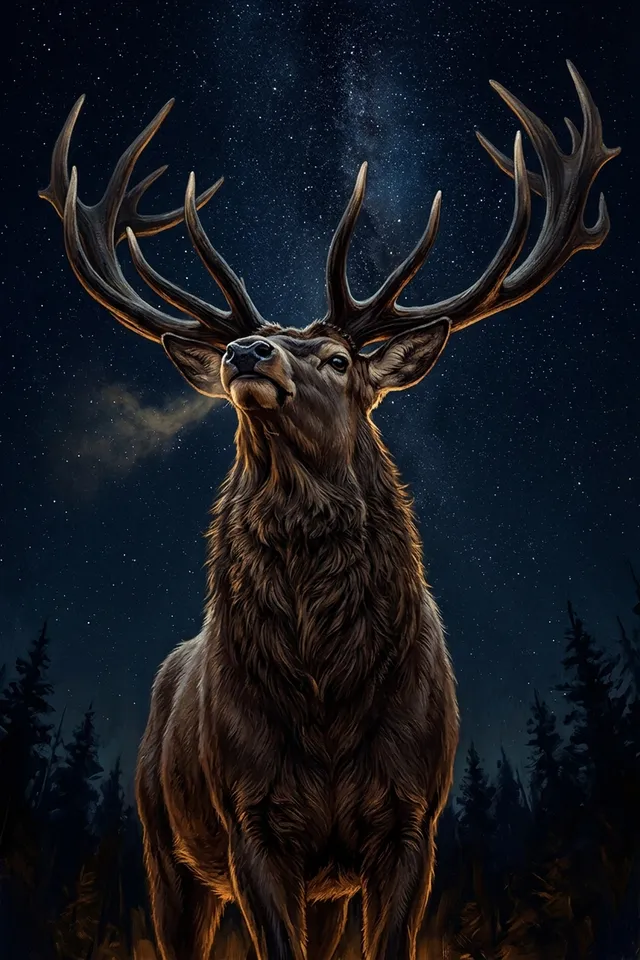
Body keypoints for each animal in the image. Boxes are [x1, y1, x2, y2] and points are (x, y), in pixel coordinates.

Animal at [39, 61, 618, 960]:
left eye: (341, 359)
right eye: (249, 348)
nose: (246, 352)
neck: (326, 696)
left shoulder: (412, 818)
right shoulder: (250, 818)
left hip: (325, 888)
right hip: (163, 846)